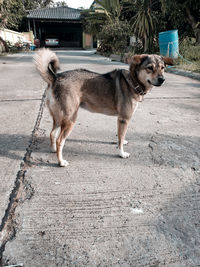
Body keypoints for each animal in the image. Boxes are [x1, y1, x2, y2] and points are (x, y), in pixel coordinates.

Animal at [33, 48, 173, 165]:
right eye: (150, 68)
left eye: (162, 67)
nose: (162, 79)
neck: (133, 81)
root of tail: (56, 77)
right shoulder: (124, 119)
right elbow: (121, 138)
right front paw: (121, 153)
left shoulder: (121, 120)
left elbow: (121, 136)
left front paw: (122, 142)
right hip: (70, 120)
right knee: (59, 140)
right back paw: (61, 161)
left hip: (59, 117)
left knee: (52, 134)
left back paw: (53, 150)